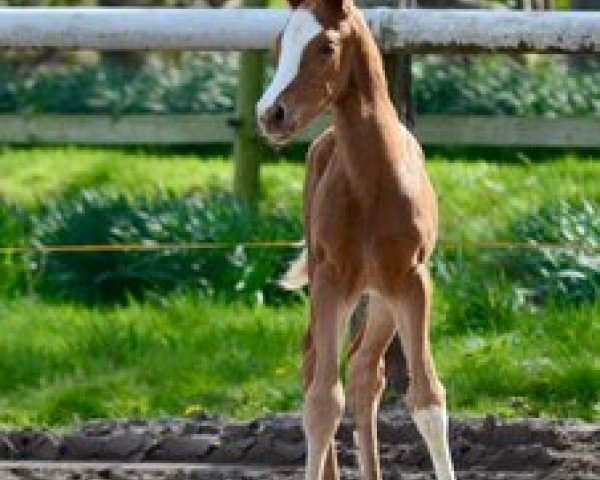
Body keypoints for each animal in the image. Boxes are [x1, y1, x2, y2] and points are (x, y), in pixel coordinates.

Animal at [255, 0, 458, 480]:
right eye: (279, 43)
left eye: (325, 47)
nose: (270, 114)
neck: (371, 181)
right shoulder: (331, 280)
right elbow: (322, 403)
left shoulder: (412, 281)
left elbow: (428, 399)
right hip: (336, 286)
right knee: (316, 365)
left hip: (381, 296)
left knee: (365, 372)